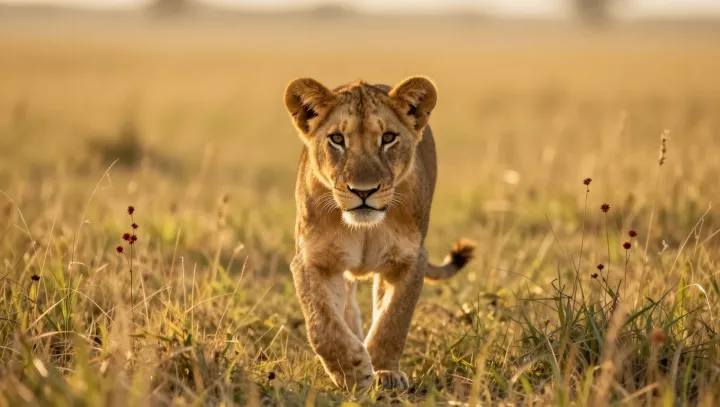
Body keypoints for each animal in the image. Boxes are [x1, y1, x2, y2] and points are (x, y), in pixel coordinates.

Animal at [283, 76, 475, 391]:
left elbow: (393, 319)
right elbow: (322, 324)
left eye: (388, 138)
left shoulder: (409, 259)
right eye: (337, 139)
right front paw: (353, 372)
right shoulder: (313, 260)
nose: (364, 191)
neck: (364, 229)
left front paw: (384, 372)